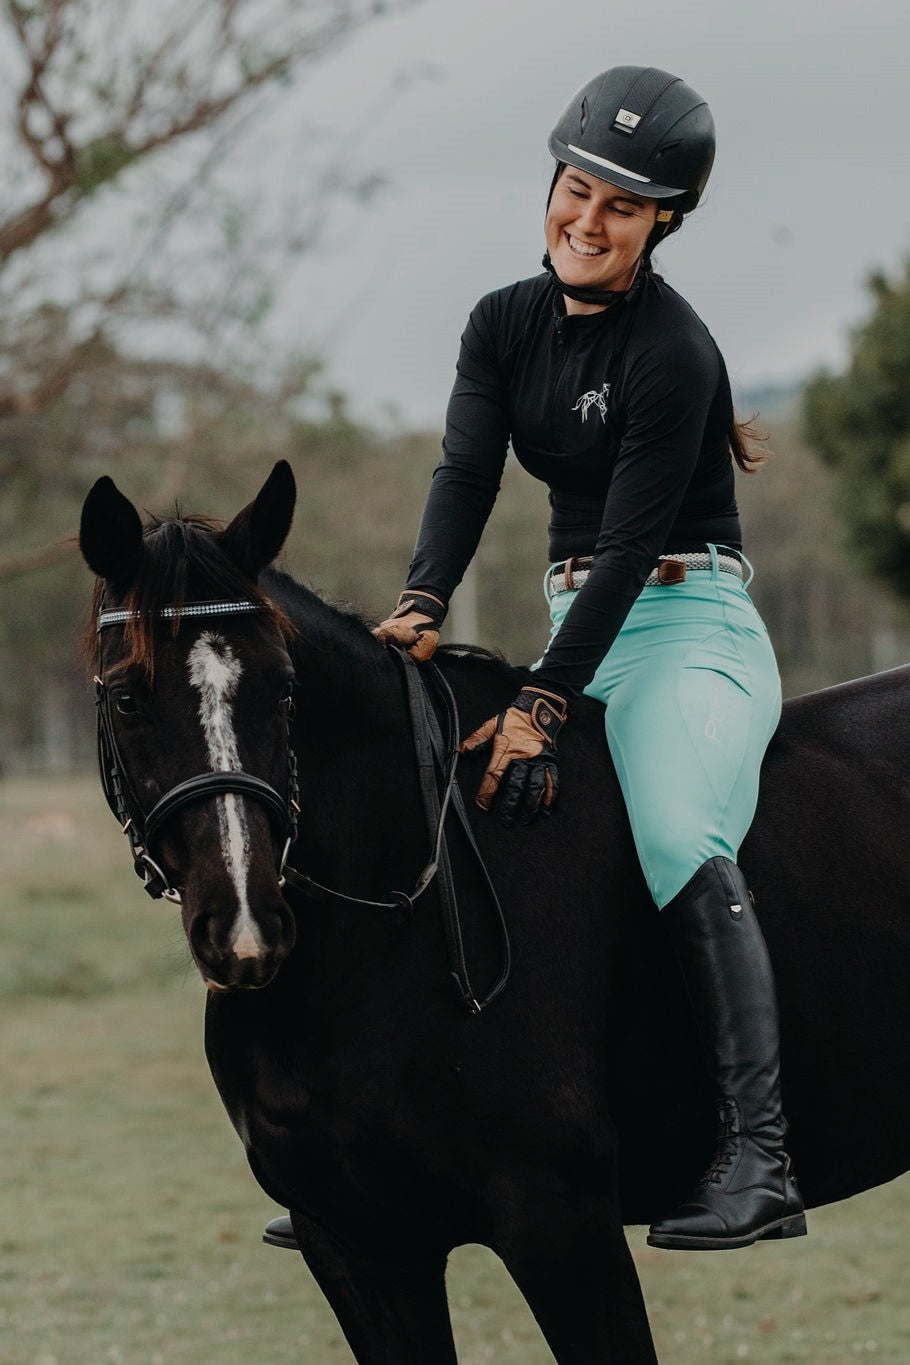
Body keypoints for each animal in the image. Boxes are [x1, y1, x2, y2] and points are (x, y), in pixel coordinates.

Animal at [76, 461, 910, 1365]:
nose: (244, 929)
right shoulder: (357, 1243)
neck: (374, 949)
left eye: (286, 689)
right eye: (126, 698)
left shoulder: (562, 1226)